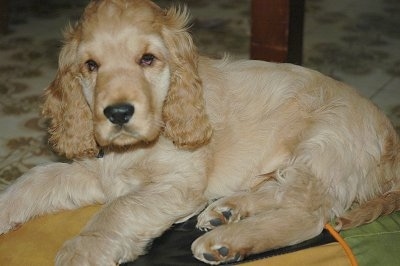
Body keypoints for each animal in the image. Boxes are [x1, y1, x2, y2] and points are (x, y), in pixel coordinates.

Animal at [0, 1, 400, 264]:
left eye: (148, 59)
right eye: (91, 65)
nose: (117, 113)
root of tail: (390, 140)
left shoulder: (176, 183)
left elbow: (118, 209)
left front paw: (81, 249)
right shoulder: (96, 170)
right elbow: (34, 180)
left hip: (322, 144)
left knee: (309, 216)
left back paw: (227, 240)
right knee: (283, 194)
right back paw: (227, 210)